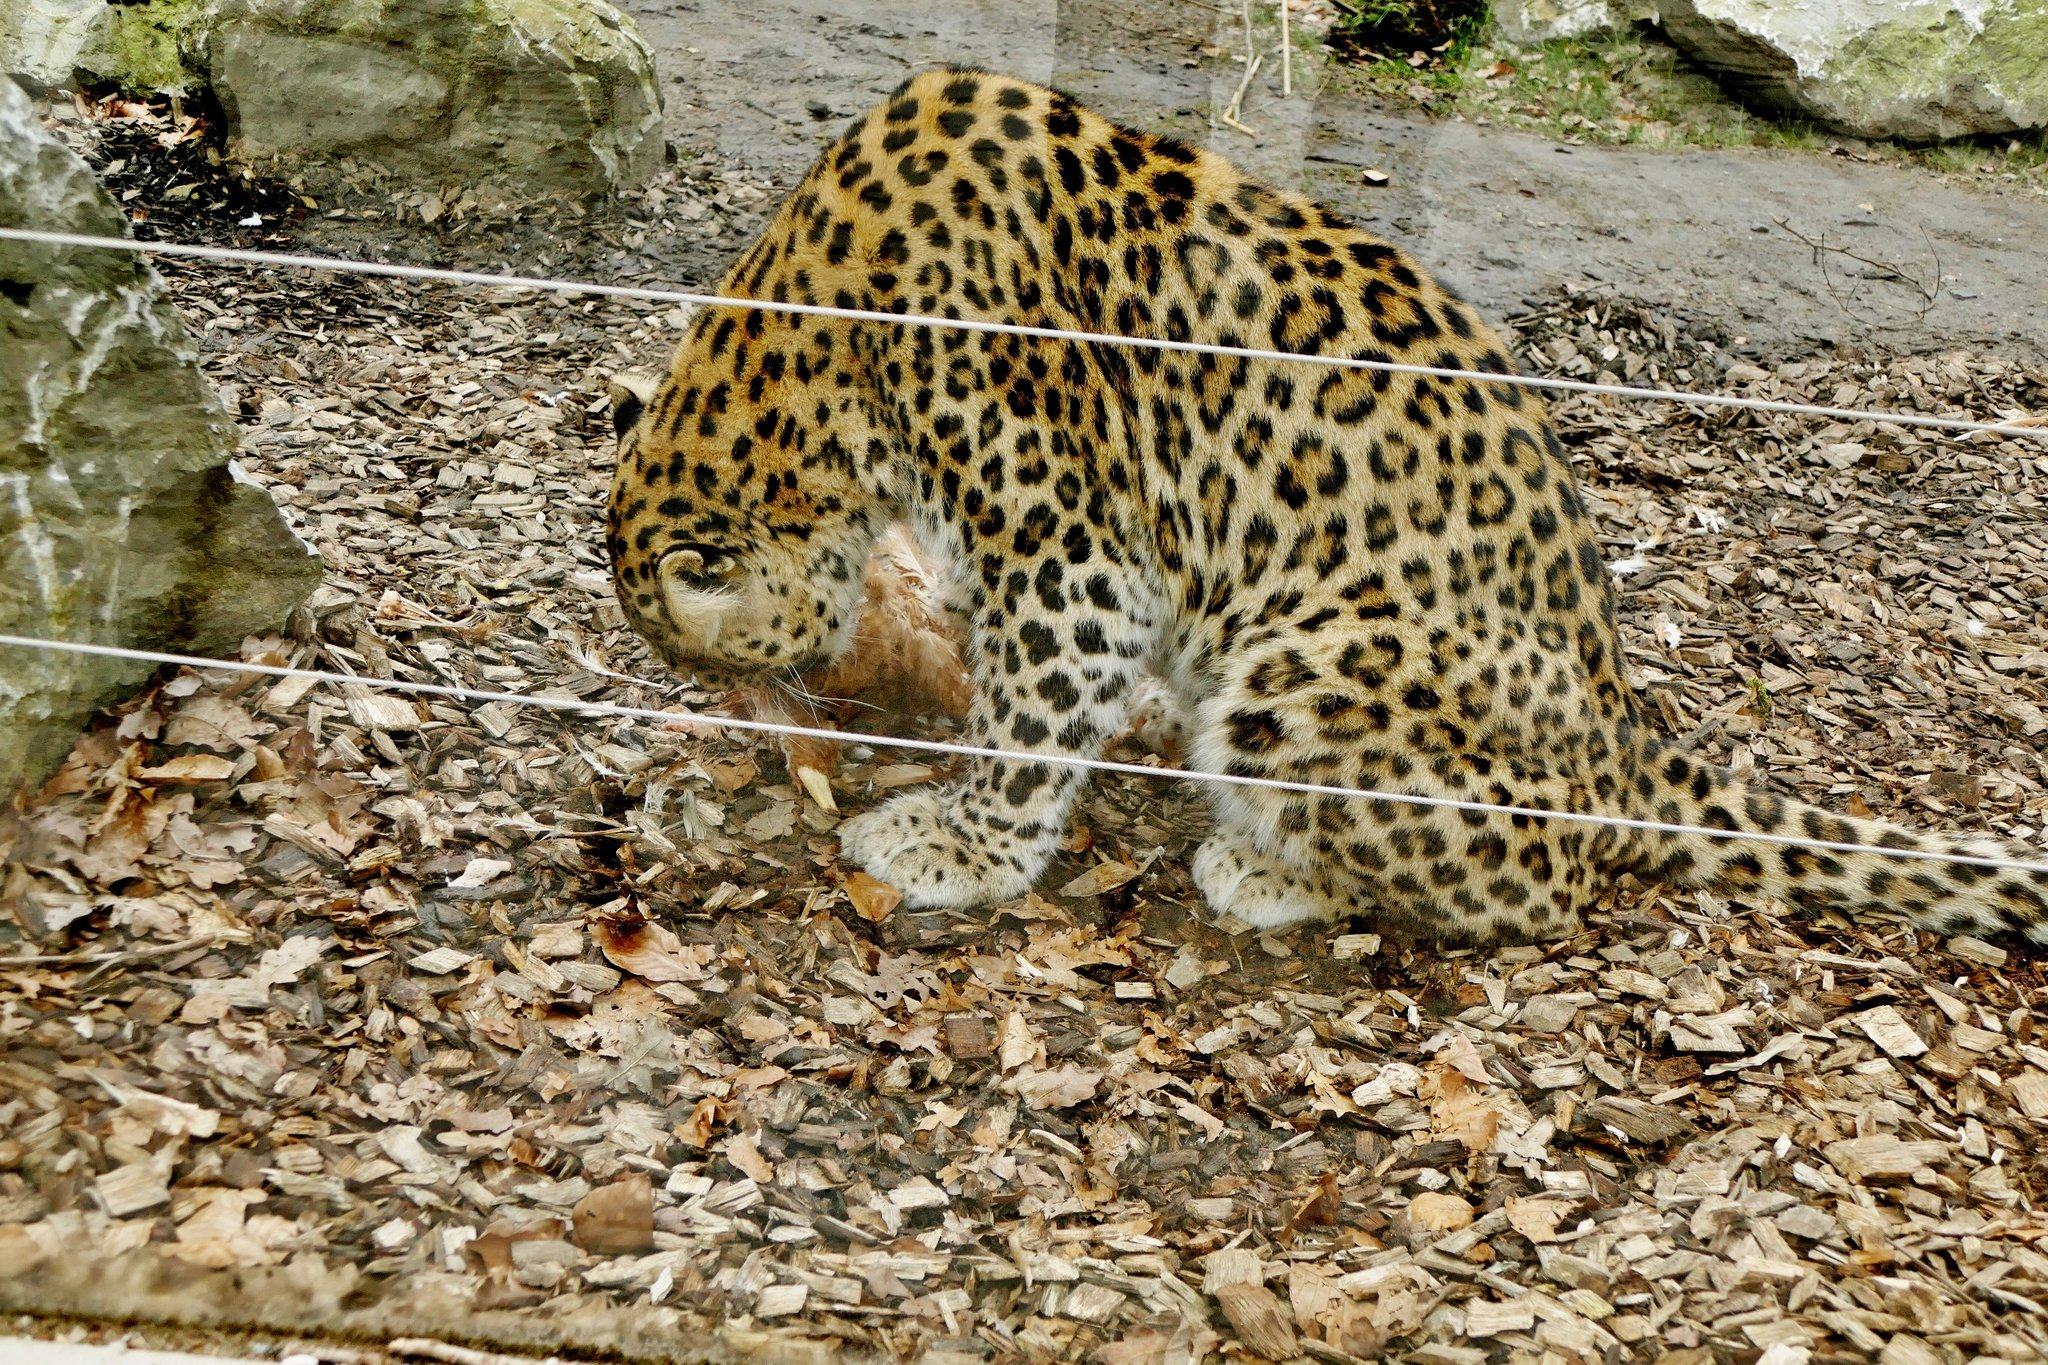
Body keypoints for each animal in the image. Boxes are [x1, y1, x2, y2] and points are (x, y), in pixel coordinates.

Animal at [606, 67, 2048, 945]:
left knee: (1540, 885)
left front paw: (957, 843)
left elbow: (1029, 721)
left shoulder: (1075, 554)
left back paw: (1265, 865)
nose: (758, 711)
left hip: (1307, 668)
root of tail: (1624, 737)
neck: (802, 351)